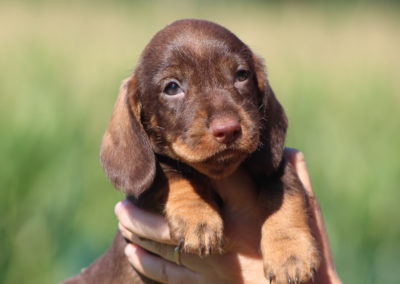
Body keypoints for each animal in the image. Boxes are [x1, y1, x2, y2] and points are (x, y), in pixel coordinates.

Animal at [64, 18, 320, 282]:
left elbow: (283, 194)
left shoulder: (277, 163)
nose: (228, 129)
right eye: (172, 88)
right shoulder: (141, 194)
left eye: (242, 75)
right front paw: (198, 219)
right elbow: (172, 174)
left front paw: (290, 255)